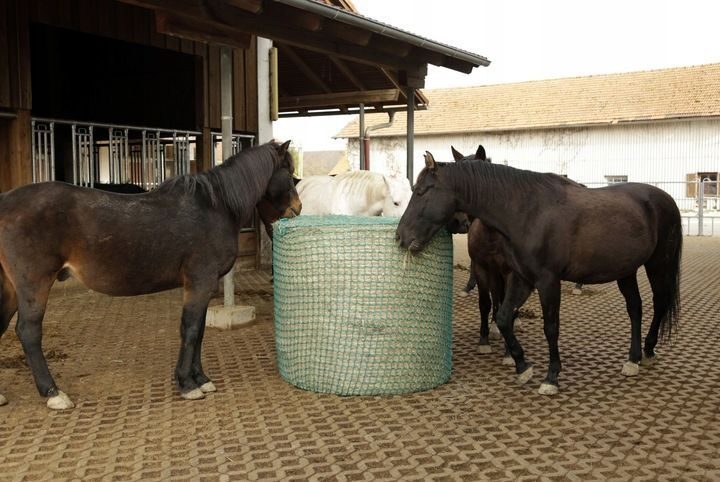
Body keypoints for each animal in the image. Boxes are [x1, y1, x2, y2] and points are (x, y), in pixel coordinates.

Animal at [0, 140, 301, 409]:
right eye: (288, 172)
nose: (297, 209)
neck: (215, 207)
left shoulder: (203, 286)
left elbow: (200, 330)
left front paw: (201, 379)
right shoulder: (200, 282)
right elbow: (191, 330)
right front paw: (187, 384)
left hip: (11, 288)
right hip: (34, 285)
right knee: (28, 332)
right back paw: (53, 393)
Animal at [396, 151, 682, 395]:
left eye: (421, 192)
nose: (400, 236)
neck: (528, 212)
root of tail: (664, 198)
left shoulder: (547, 281)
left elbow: (551, 327)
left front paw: (551, 377)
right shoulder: (522, 278)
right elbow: (503, 317)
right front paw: (522, 366)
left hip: (658, 264)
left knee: (659, 303)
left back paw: (648, 349)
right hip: (625, 270)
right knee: (635, 308)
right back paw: (633, 359)